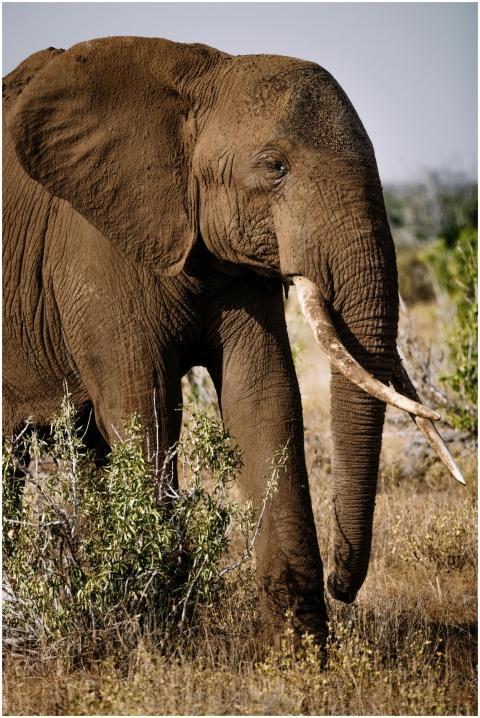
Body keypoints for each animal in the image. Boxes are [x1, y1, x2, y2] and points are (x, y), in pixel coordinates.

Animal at [3, 37, 464, 645]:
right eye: (274, 168)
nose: (343, 583)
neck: (202, 80)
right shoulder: (93, 249)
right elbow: (143, 407)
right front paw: (161, 635)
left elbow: (264, 398)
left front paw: (299, 655)